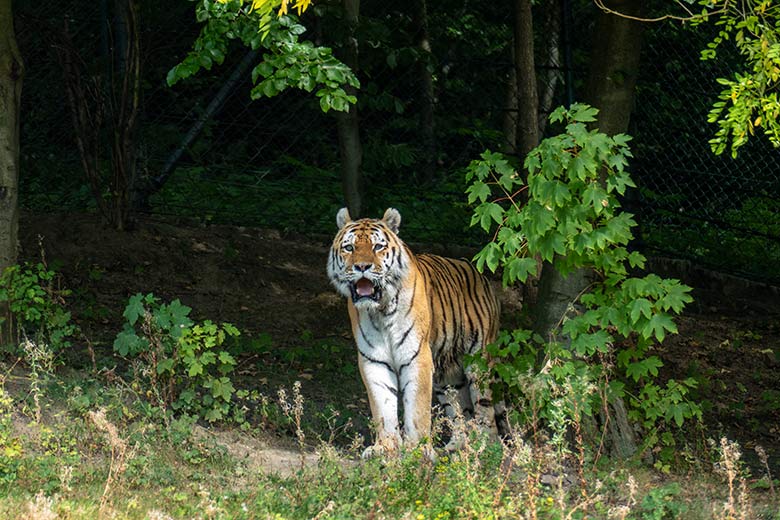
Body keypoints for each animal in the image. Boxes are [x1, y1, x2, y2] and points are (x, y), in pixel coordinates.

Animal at [324, 207, 502, 460]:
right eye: (349, 248)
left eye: (377, 247)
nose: (362, 267)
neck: (380, 310)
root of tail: (482, 275)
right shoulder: (374, 360)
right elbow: (383, 406)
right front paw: (385, 447)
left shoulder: (417, 357)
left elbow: (417, 408)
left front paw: (418, 449)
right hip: (448, 376)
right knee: (460, 409)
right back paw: (456, 447)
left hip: (479, 362)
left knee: (485, 408)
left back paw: (484, 448)